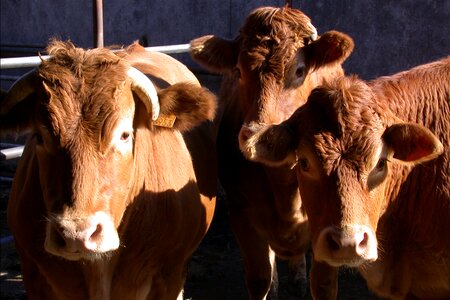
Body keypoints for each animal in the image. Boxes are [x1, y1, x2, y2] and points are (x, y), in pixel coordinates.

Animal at [188, 5, 354, 298]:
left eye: (299, 70)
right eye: (238, 70)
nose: (257, 137)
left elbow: (323, 285)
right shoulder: (241, 212)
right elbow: (259, 276)